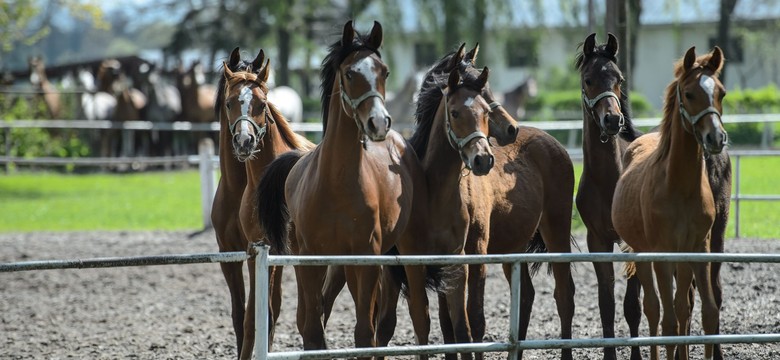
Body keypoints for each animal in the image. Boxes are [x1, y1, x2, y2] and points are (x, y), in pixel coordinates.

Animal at [256, 20, 426, 358]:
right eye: (349, 73)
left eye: (384, 71)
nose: (379, 123)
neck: (335, 183)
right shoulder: (309, 260)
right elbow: (312, 331)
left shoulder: (367, 259)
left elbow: (364, 333)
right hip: (335, 266)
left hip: (403, 252)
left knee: (415, 315)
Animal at [612, 45, 728, 360]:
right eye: (688, 93)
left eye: (721, 93)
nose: (716, 138)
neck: (679, 186)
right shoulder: (662, 253)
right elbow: (668, 320)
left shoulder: (697, 249)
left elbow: (703, 312)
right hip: (643, 253)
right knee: (653, 309)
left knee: (680, 307)